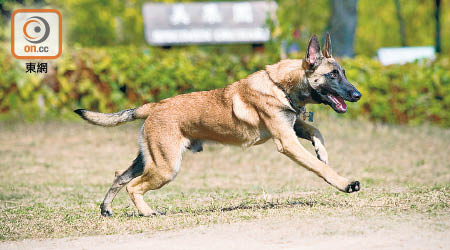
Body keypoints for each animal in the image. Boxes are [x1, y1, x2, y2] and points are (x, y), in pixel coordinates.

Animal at [74, 33, 362, 217]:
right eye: (332, 75)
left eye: (343, 73)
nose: (357, 95)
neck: (280, 84)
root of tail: (154, 106)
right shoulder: (286, 141)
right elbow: (319, 168)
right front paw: (344, 183)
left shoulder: (291, 126)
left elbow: (315, 131)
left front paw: (322, 150)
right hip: (166, 168)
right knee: (132, 186)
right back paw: (147, 213)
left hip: (149, 161)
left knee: (119, 177)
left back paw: (106, 209)